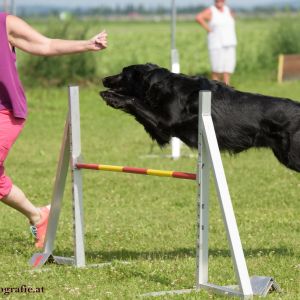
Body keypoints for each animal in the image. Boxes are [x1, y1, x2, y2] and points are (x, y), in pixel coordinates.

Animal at [100, 63, 300, 172]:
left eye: (123, 72)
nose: (103, 79)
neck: (161, 84)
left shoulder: (165, 122)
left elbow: (134, 100)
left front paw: (111, 97)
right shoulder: (162, 130)